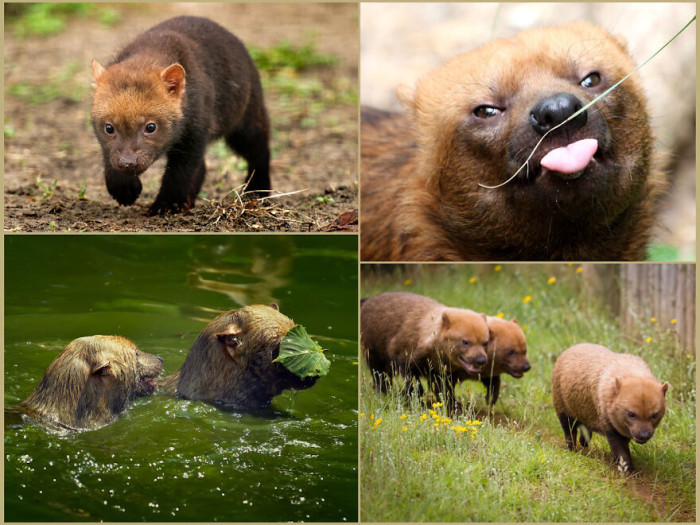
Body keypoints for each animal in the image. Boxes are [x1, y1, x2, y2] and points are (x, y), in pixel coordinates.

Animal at [361, 291, 489, 412]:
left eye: (485, 342)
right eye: (465, 341)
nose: (481, 360)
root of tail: (366, 301)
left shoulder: (442, 372)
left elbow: (444, 391)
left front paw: (452, 406)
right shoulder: (404, 359)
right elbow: (414, 386)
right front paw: (415, 401)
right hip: (373, 352)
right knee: (379, 375)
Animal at [552, 343, 669, 474]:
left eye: (655, 414)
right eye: (630, 413)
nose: (643, 435)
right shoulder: (610, 425)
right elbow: (621, 451)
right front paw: (629, 471)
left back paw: (584, 442)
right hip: (561, 405)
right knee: (569, 430)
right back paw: (572, 449)